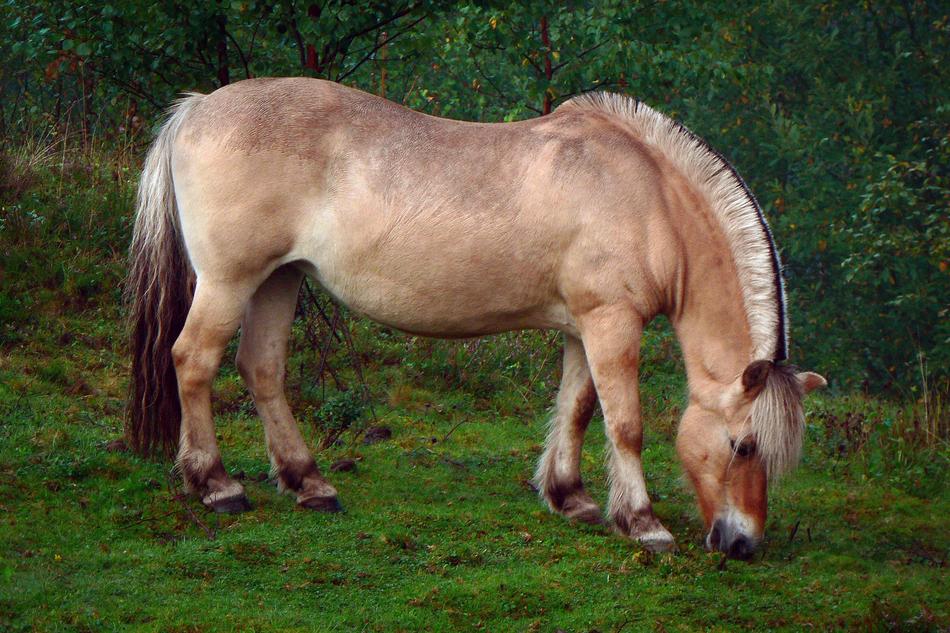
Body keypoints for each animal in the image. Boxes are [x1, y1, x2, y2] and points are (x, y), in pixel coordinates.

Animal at [127, 77, 826, 560]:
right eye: (742, 445)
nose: (743, 543)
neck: (646, 197)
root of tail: (196, 109)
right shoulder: (612, 323)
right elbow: (624, 424)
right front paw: (643, 522)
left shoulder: (582, 328)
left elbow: (576, 408)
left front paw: (569, 496)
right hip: (230, 281)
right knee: (194, 361)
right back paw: (215, 485)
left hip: (279, 279)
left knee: (262, 369)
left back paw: (310, 484)